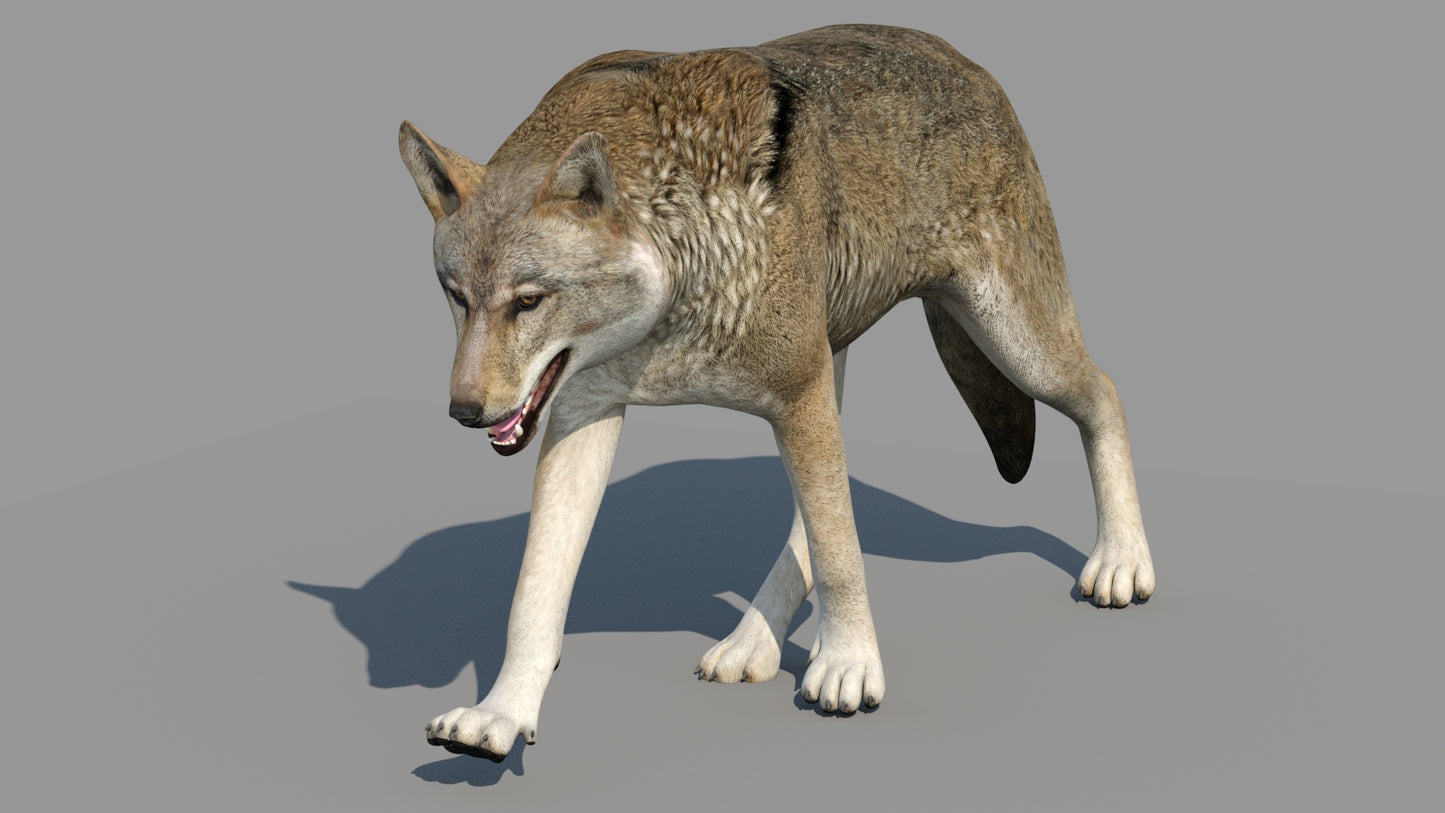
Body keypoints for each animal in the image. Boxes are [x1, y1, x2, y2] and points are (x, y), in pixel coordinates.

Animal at [399, 24, 1155, 762]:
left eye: (528, 301)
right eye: (457, 297)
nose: (464, 411)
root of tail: (965, 60)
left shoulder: (795, 392)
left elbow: (841, 551)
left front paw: (849, 665)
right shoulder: (585, 411)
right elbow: (535, 595)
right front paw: (501, 713)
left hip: (1013, 346)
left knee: (1106, 391)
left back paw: (1121, 560)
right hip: (840, 366)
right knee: (813, 515)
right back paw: (751, 644)